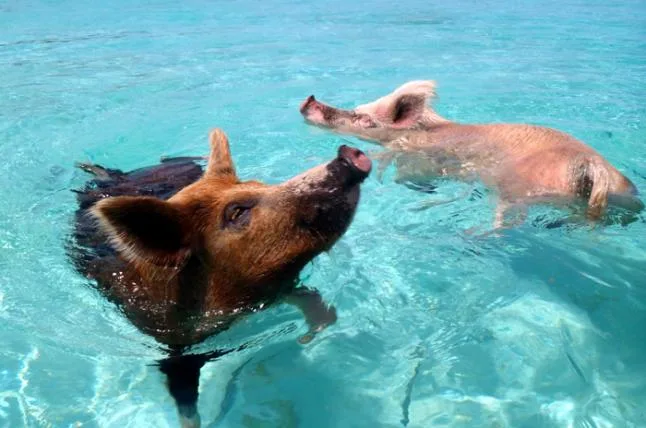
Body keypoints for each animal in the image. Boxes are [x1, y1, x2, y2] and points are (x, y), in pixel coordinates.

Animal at [69, 129, 371, 427]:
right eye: (237, 211)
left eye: (260, 184)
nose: (349, 155)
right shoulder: (174, 347)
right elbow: (185, 400)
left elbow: (316, 305)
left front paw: (310, 335)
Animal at [300, 80, 642, 227]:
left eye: (363, 118)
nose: (308, 100)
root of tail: (593, 166)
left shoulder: (415, 155)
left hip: (517, 187)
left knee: (508, 222)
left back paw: (472, 235)